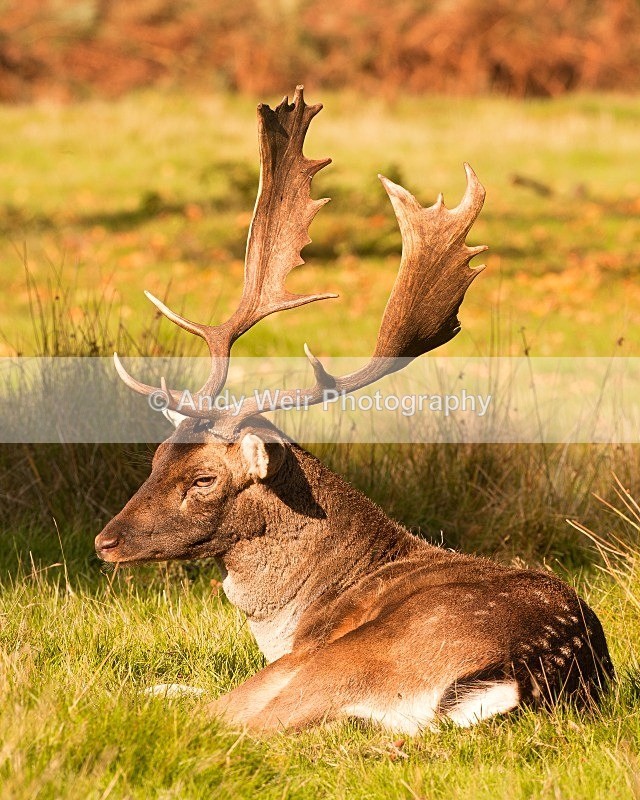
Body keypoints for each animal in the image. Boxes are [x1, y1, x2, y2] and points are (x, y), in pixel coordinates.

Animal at [95, 87, 613, 734]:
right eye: (157, 458)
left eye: (205, 478)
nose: (106, 542)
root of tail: (528, 674)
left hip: (349, 657)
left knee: (234, 720)